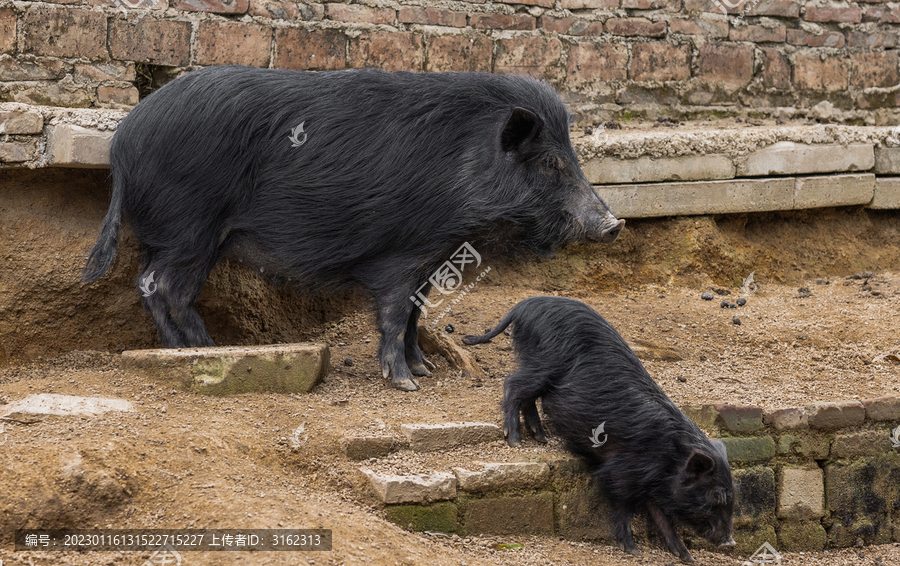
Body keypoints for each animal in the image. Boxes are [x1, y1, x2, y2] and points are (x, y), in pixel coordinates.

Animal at [81, 66, 624, 392]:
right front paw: (408, 385)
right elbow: (393, 314)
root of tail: (122, 142)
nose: (614, 224)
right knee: (162, 285)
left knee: (153, 283)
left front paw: (424, 368)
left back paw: (196, 348)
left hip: (189, 236)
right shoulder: (403, 253)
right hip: (191, 228)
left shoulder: (432, 257)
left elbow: (416, 315)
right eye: (550, 163)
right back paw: (201, 349)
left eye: (572, 157)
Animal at [464, 298, 732, 564]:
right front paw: (633, 550)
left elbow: (663, 517)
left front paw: (686, 557)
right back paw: (515, 441)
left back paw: (541, 438)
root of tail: (524, 305)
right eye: (715, 494)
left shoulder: (649, 481)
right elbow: (625, 507)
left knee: (528, 397)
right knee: (512, 385)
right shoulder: (623, 472)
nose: (730, 542)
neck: (670, 457)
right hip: (542, 363)